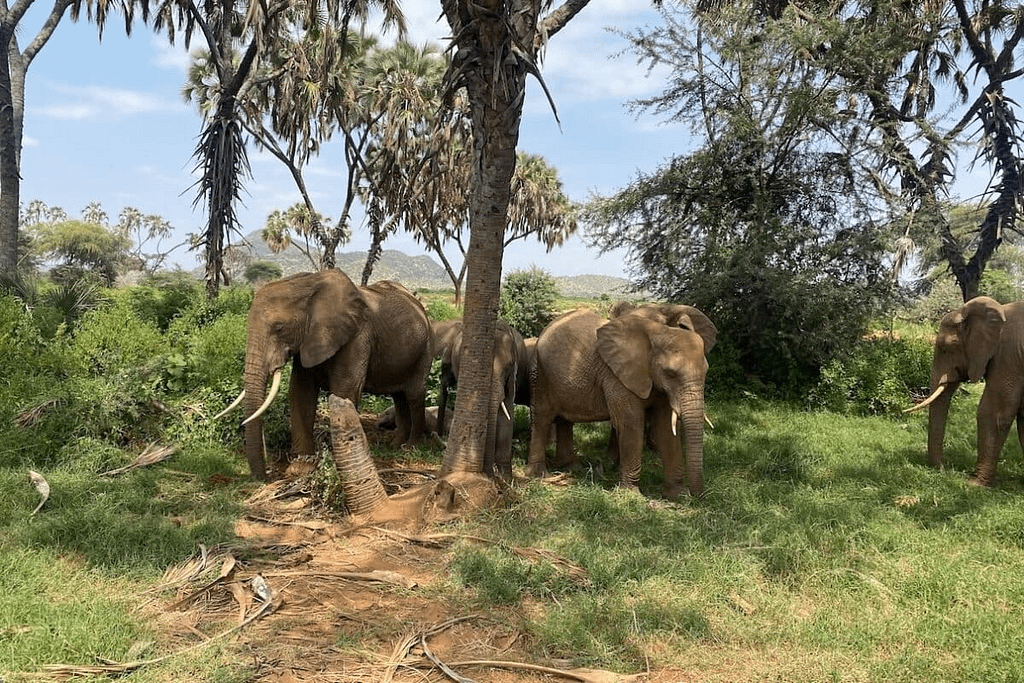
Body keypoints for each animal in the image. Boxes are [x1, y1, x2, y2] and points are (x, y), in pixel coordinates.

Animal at [218, 270, 433, 480]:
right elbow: (301, 392)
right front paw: (300, 469)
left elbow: (343, 391)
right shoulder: (309, 339)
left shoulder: (357, 336)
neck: (309, 284)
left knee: (414, 395)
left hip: (426, 349)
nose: (265, 477)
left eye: (280, 328)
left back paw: (411, 447)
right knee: (399, 396)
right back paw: (395, 446)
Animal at [526, 305, 717, 498]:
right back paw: (539, 475)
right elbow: (631, 423)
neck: (654, 335)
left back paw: (572, 468)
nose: (698, 497)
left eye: (706, 371)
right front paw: (631, 495)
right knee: (542, 418)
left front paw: (677, 495)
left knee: (565, 420)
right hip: (540, 372)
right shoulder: (616, 376)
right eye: (670, 373)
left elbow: (666, 427)